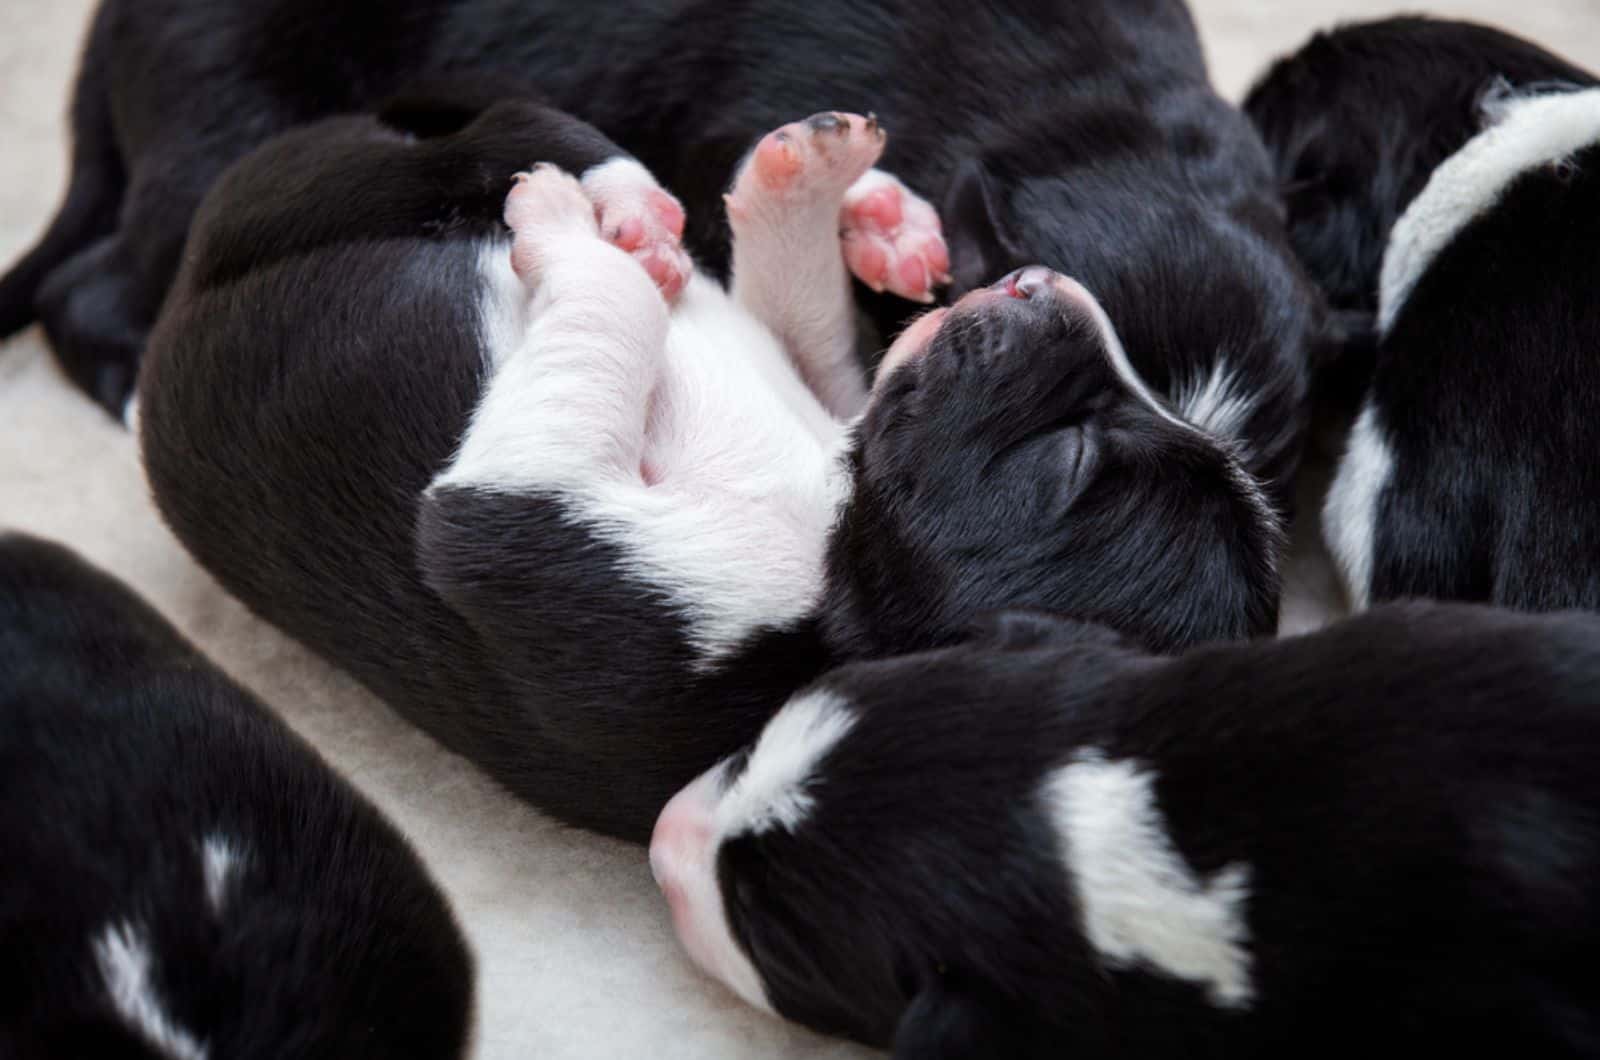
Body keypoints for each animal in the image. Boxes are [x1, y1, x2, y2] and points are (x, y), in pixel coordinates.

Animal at [144, 101, 1280, 845]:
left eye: (1075, 461)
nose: (1045, 280)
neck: (835, 537)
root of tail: (173, 311)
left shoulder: (514, 517)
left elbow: (610, 315)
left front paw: (569, 241)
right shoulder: (838, 403)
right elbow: (802, 320)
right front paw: (829, 208)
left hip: (285, 198)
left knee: (480, 142)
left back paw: (588, 201)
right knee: (514, 128)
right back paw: (736, 195)